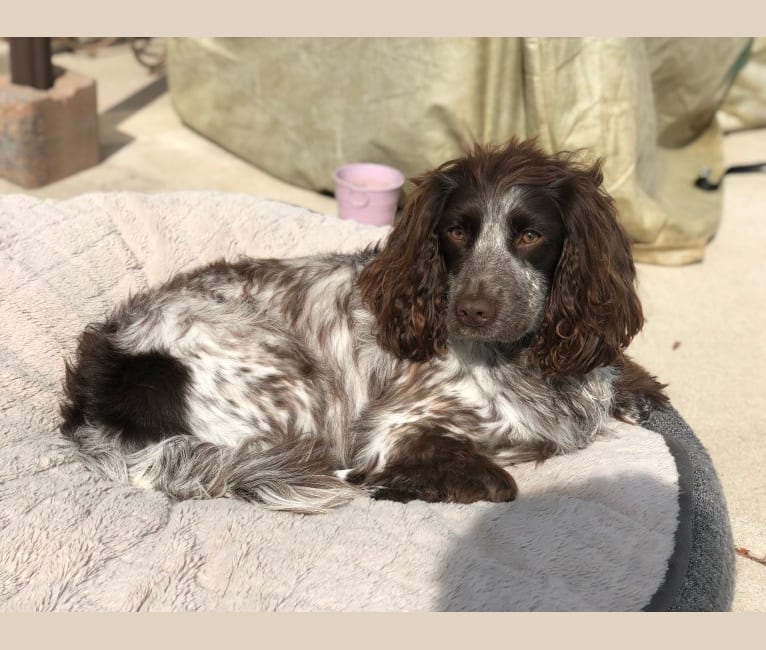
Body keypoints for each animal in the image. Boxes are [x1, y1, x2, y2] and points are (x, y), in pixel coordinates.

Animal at [63, 138, 668, 512]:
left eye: (530, 235)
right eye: (456, 231)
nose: (472, 309)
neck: (523, 360)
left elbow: (629, 380)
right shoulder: (390, 430)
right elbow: (498, 482)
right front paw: (397, 488)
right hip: (294, 381)